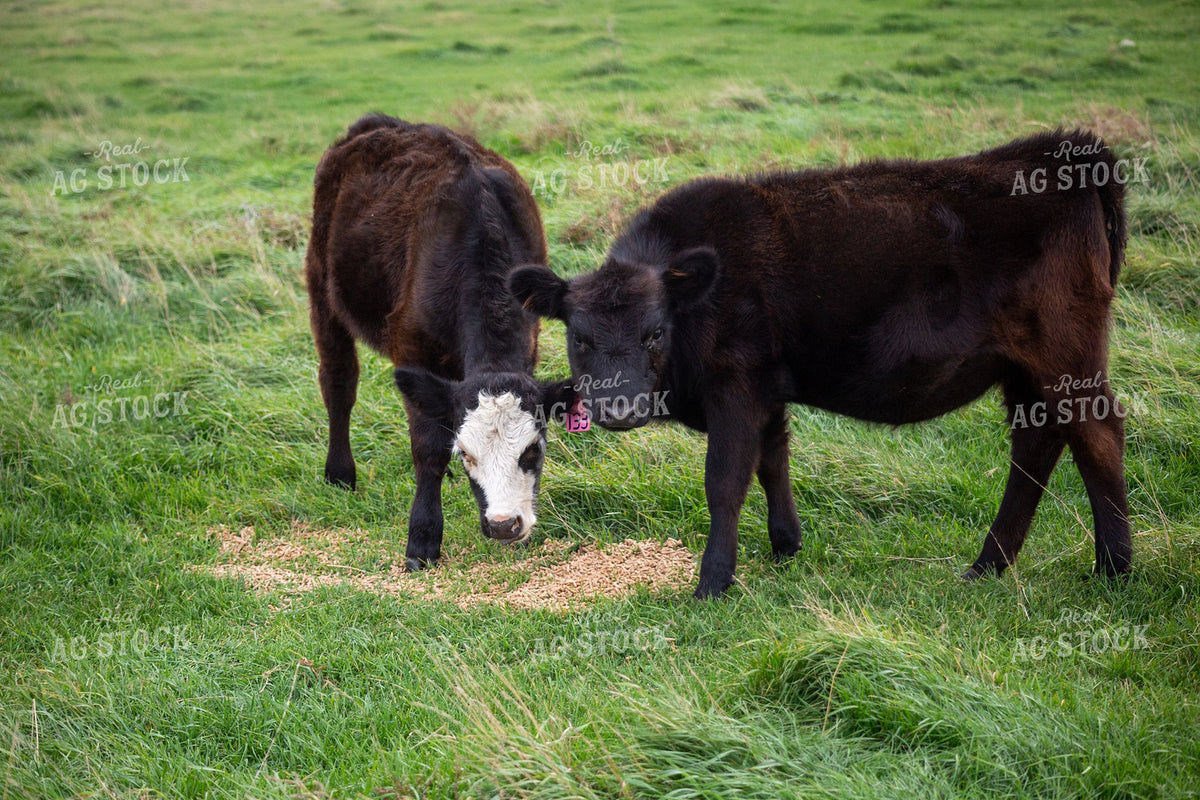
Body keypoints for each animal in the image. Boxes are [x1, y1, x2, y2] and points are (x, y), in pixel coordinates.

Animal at [306, 113, 575, 571]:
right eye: (465, 453)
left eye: (533, 451)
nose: (504, 525)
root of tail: (378, 123)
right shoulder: (413, 352)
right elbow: (428, 449)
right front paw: (423, 539)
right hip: (323, 288)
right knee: (339, 383)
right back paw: (339, 473)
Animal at [509, 129, 1133, 598]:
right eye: (580, 338)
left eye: (654, 332)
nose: (619, 407)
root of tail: (1064, 150)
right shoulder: (765, 388)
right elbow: (772, 460)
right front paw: (786, 545)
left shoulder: (736, 384)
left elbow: (725, 480)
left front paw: (714, 582)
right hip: (1023, 371)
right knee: (1037, 444)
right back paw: (989, 566)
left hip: (1065, 354)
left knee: (1097, 434)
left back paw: (1114, 568)